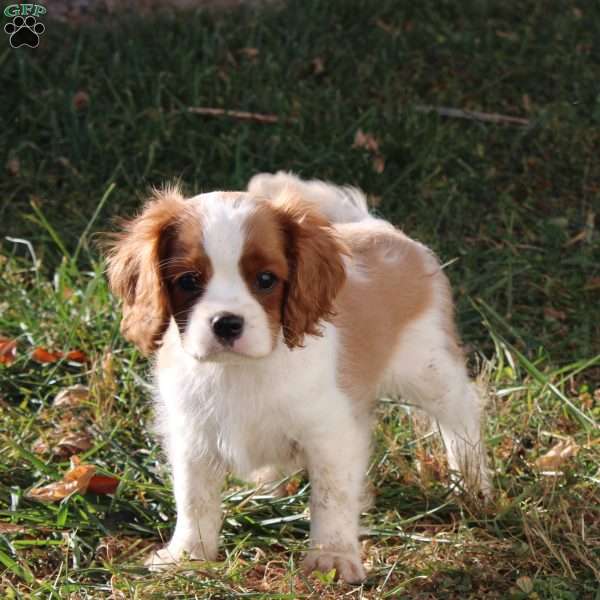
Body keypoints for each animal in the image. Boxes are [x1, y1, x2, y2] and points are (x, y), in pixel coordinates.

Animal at [105, 171, 490, 584]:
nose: (226, 323)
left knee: (462, 417)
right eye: (189, 281)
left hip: (429, 368)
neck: (240, 370)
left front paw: (332, 557)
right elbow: (195, 499)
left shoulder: (329, 433)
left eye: (266, 279)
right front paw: (189, 555)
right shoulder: (193, 435)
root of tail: (376, 225)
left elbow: (331, 497)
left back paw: (472, 484)